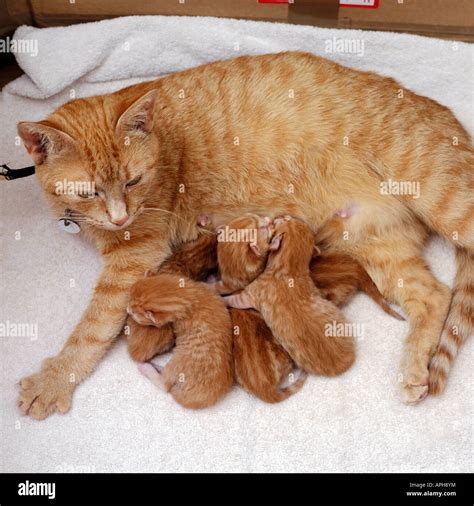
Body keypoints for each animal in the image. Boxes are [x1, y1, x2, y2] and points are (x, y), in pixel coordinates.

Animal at [226, 216, 356, 376]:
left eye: (285, 219)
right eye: (290, 219)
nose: (279, 216)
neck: (288, 272)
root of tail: (345, 364)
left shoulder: (250, 294)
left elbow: (233, 299)